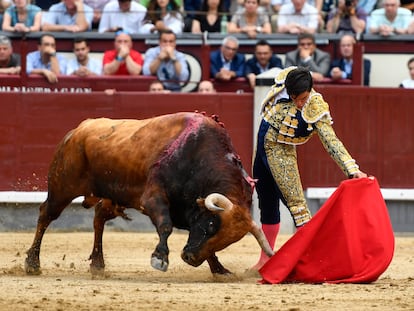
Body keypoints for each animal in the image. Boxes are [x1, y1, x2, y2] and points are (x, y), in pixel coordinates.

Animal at [24, 111, 274, 276]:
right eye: (211, 225)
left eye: (230, 240)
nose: (190, 259)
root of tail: (77, 130)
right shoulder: (153, 197)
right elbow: (165, 225)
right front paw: (160, 258)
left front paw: (219, 269)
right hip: (62, 187)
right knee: (46, 214)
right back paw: (32, 263)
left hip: (113, 196)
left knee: (99, 218)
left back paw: (97, 264)